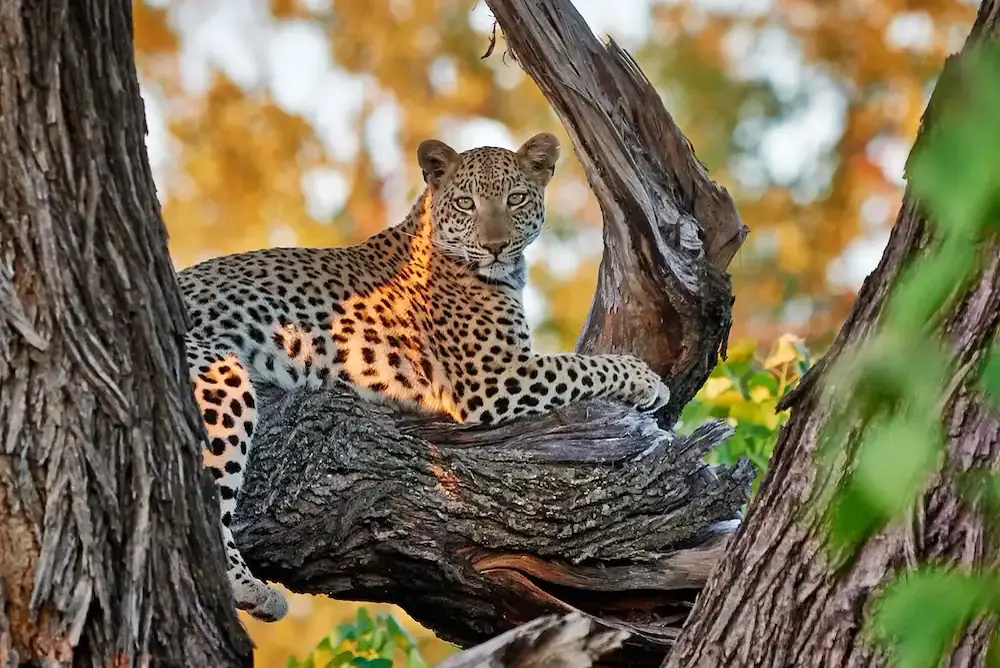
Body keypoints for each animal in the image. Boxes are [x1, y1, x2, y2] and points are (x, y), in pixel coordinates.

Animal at [177, 132, 671, 623]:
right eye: (467, 204)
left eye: (515, 199)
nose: (495, 246)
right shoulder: (496, 373)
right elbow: (582, 365)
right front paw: (647, 380)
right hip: (219, 371)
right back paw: (249, 589)